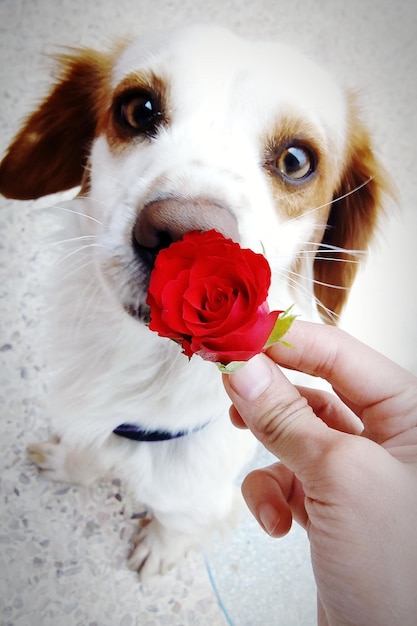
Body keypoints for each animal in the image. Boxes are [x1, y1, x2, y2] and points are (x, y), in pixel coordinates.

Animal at [0, 26, 386, 576]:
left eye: (296, 160)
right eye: (138, 109)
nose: (184, 239)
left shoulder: (198, 495)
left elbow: (178, 522)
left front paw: (161, 549)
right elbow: (84, 454)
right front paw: (71, 464)